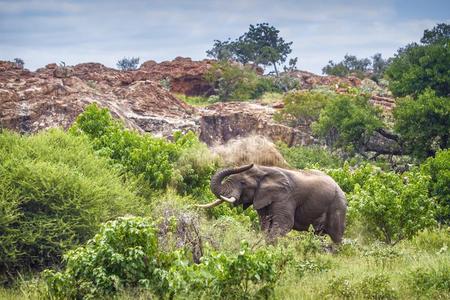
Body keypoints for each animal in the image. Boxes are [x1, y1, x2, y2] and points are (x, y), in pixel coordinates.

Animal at [197, 164, 348, 244]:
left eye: (243, 183)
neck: (264, 170)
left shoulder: (285, 197)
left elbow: (284, 225)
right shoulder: (262, 198)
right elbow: (265, 225)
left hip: (337, 205)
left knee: (336, 236)